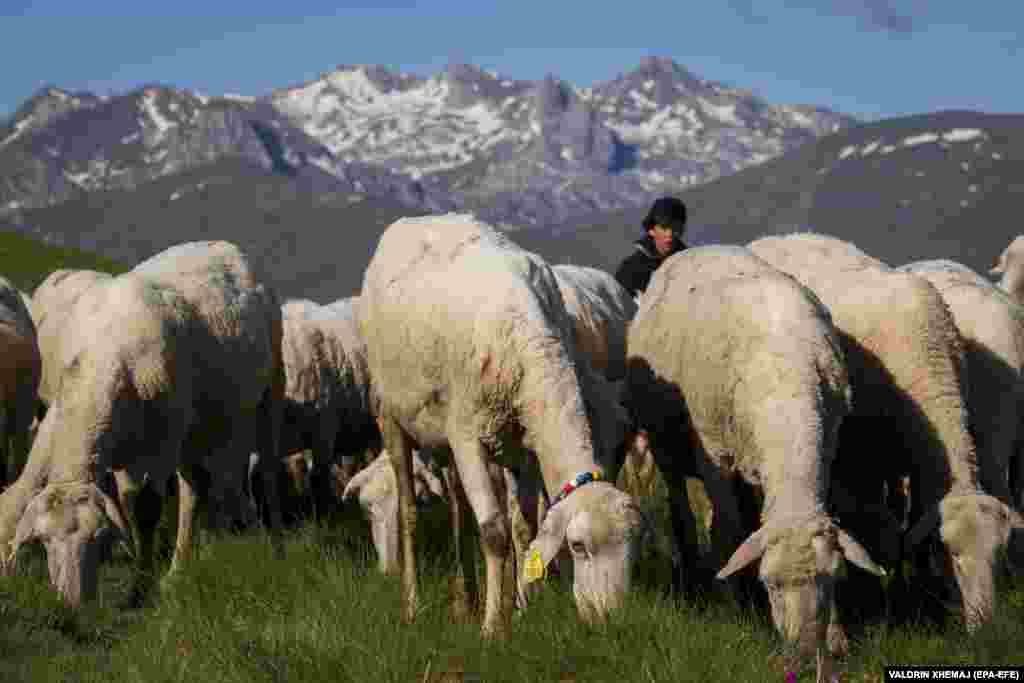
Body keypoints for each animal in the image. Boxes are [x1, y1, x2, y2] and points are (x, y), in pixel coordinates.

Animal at [3, 242, 288, 606]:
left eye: (97, 538)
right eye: (45, 541)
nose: (73, 604)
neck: (101, 364)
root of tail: (224, 244)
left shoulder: (158, 447)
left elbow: (146, 510)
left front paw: (139, 590)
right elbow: (127, 504)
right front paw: (146, 577)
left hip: (269, 388)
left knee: (266, 471)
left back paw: (276, 547)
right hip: (196, 425)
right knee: (195, 488)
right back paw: (177, 570)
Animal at [360, 214, 647, 634]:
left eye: (632, 548)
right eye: (578, 547)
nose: (610, 621)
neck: (530, 340)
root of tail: (412, 221)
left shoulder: (520, 444)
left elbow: (524, 529)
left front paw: (523, 607)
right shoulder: (467, 437)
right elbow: (495, 533)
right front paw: (494, 627)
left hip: (448, 434)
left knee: (459, 509)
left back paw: (466, 600)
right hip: (391, 414)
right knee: (409, 510)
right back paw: (413, 605)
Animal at [622, 242, 880, 675]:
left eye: (833, 580)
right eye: (770, 584)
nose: (805, 654)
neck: (787, 395)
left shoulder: (825, 450)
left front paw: (836, 635)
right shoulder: (713, 455)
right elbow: (728, 528)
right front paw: (737, 608)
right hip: (667, 446)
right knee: (682, 508)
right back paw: (694, 574)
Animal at [745, 233, 1024, 630]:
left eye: (998, 554)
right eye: (953, 554)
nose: (985, 627)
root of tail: (777, 236)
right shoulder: (865, 459)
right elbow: (882, 532)